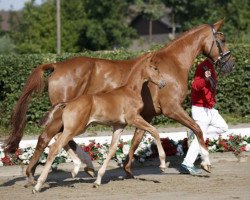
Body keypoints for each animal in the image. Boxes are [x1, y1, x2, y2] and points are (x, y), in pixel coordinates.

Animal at [32, 54, 166, 192]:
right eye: (155, 68)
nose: (163, 83)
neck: (131, 91)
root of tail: (68, 103)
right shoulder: (134, 118)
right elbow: (154, 131)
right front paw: (162, 165)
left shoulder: (119, 125)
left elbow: (112, 149)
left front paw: (97, 180)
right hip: (74, 128)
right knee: (55, 147)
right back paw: (38, 185)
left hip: (71, 128)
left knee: (57, 141)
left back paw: (77, 169)